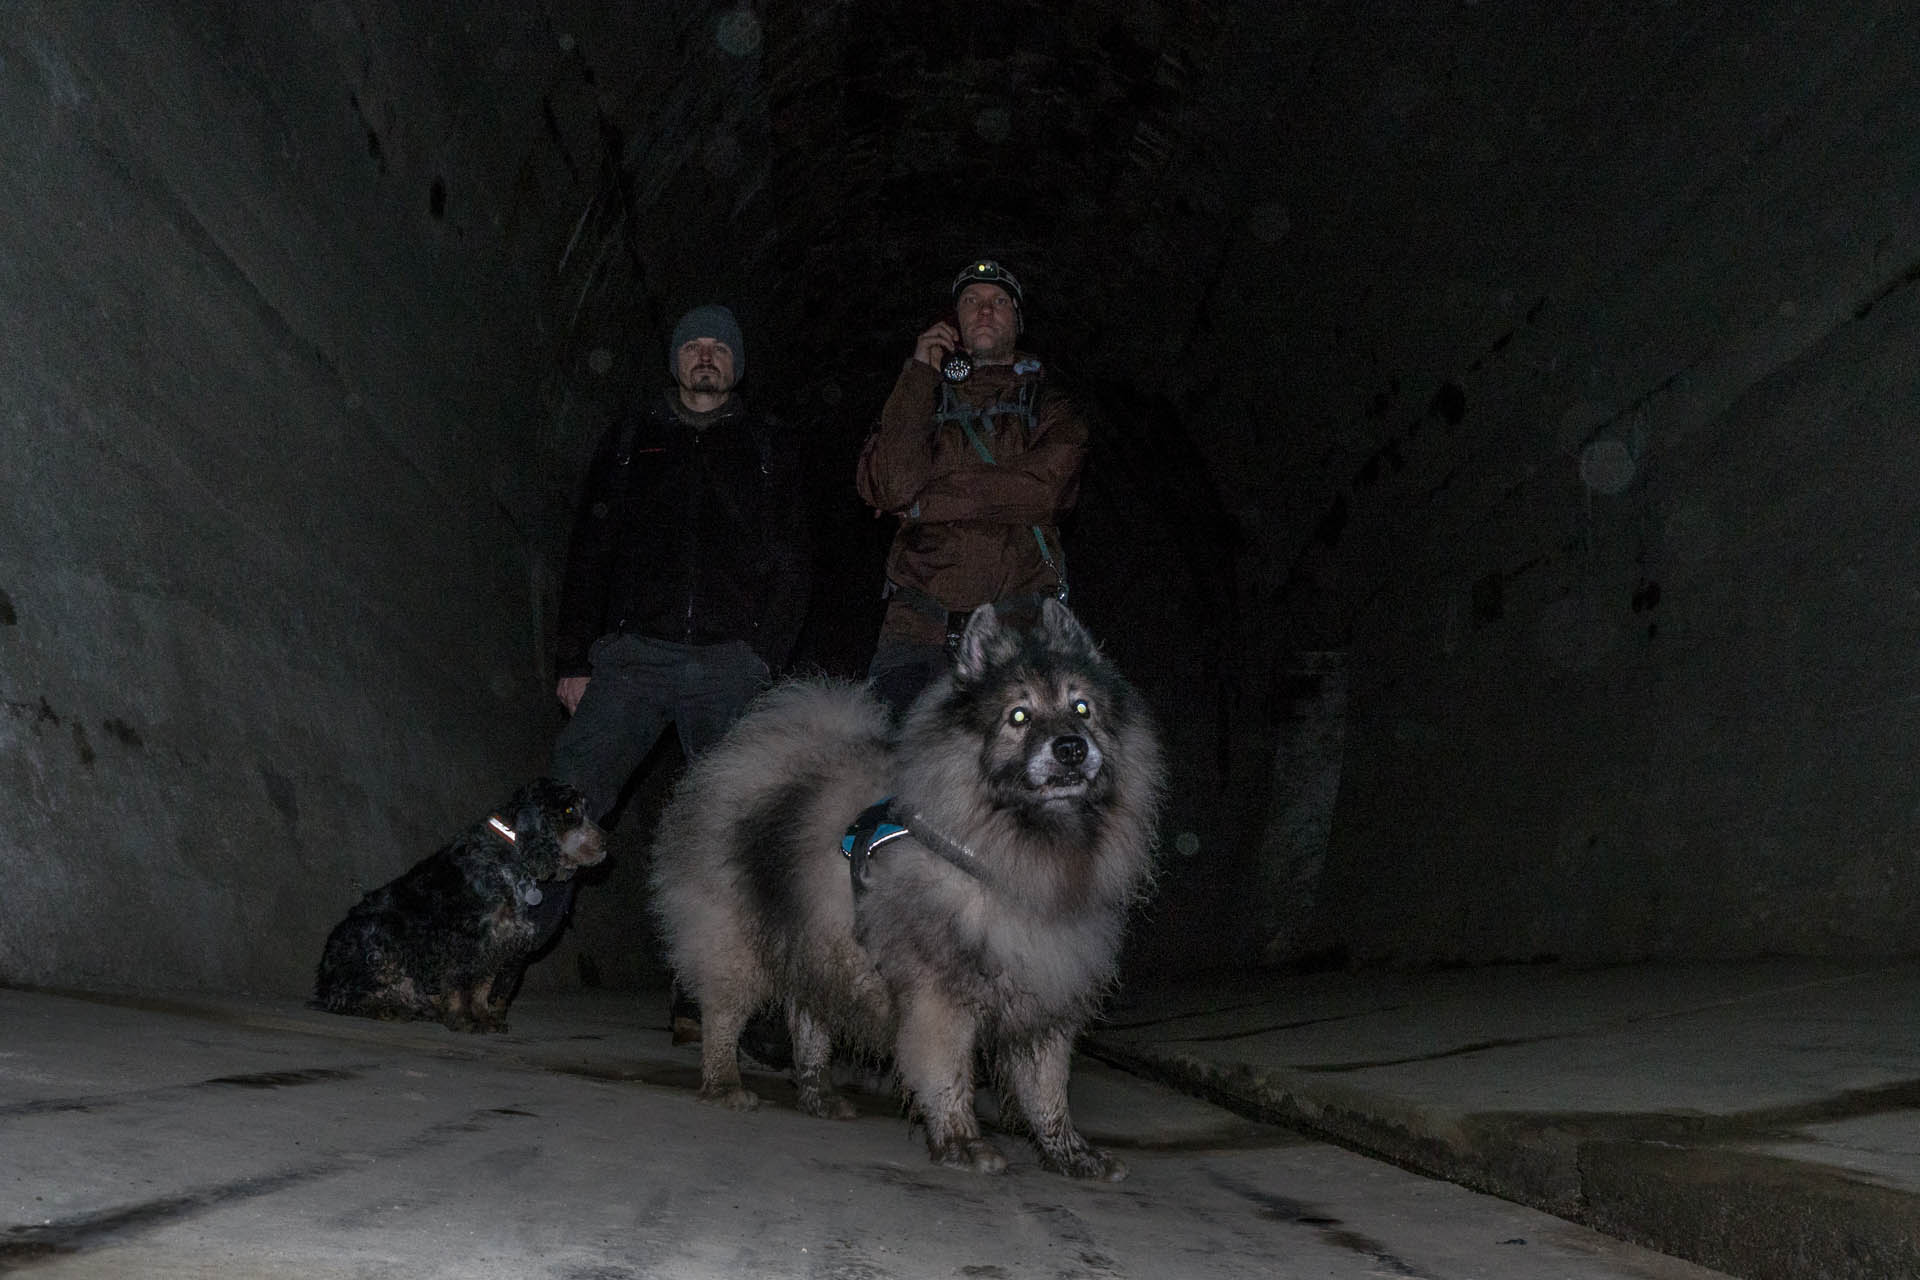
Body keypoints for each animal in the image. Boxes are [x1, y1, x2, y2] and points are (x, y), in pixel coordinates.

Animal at [311, 775, 602, 1036]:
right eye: (569, 810)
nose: (605, 844)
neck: (508, 856)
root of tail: (322, 981)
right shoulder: (462, 938)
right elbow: (461, 984)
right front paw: (463, 1020)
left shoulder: (497, 940)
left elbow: (482, 988)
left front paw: (485, 1019)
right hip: (379, 933)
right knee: (343, 997)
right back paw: (386, 1008)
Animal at [652, 602, 1159, 1182]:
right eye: (1019, 716)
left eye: (1082, 709)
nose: (1072, 748)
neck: (1016, 853)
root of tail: (746, 759)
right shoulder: (941, 997)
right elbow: (948, 1071)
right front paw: (962, 1142)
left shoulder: (1047, 992)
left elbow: (1048, 1090)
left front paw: (1071, 1153)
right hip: (736, 946)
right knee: (723, 1014)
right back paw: (725, 1084)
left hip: (818, 943)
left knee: (808, 1017)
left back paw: (818, 1094)